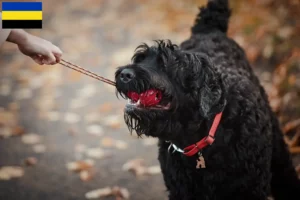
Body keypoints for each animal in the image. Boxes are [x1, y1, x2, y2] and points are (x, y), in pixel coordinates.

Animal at [115, 0, 300, 199]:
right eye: (140, 59)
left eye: (165, 64)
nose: (124, 74)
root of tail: (209, 28)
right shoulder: (181, 191)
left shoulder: (250, 188)